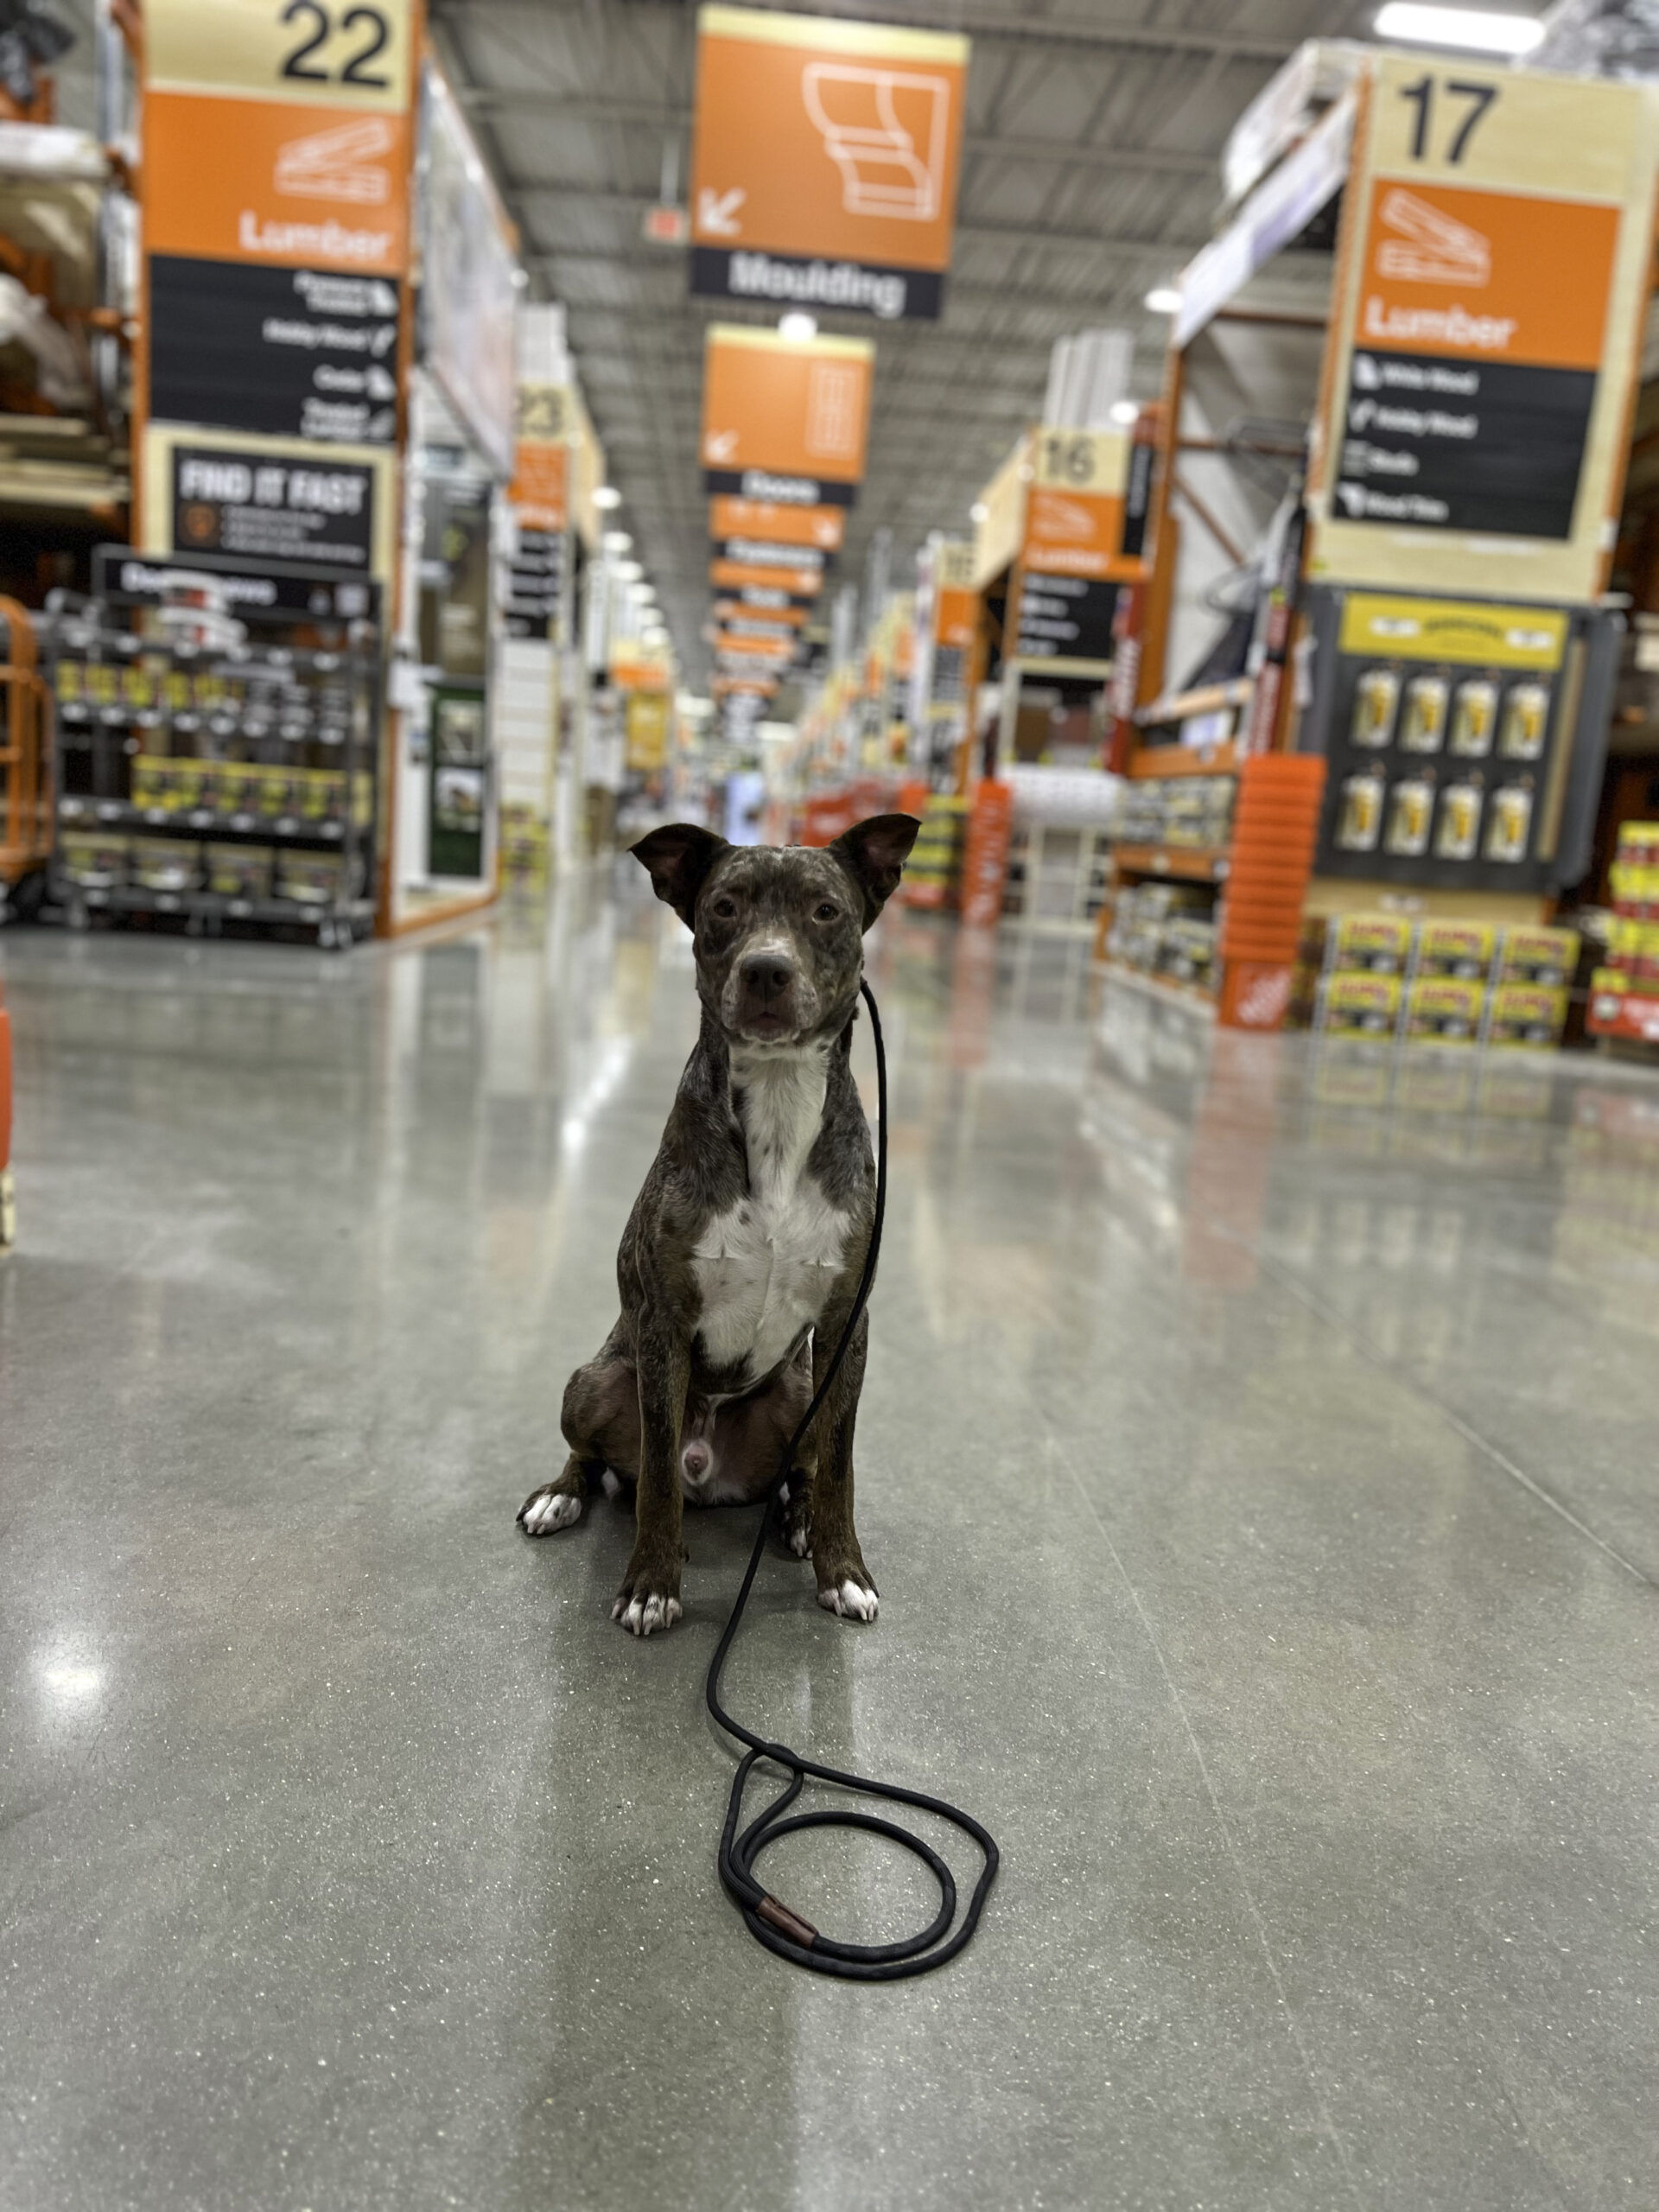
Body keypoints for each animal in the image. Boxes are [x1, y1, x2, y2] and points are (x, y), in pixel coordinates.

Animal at [518, 823, 925, 1637]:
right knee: (605, 1460)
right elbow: (655, 1482)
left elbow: (839, 1464)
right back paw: (561, 1494)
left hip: (799, 1394)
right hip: (595, 1379)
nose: (767, 969)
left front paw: (842, 1567)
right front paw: (651, 1583)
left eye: (826, 910)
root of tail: (713, 1474)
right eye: (725, 907)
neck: (777, 1098)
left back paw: (796, 1522)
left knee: (800, 1468)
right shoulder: (665, 1322)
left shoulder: (846, 1325)